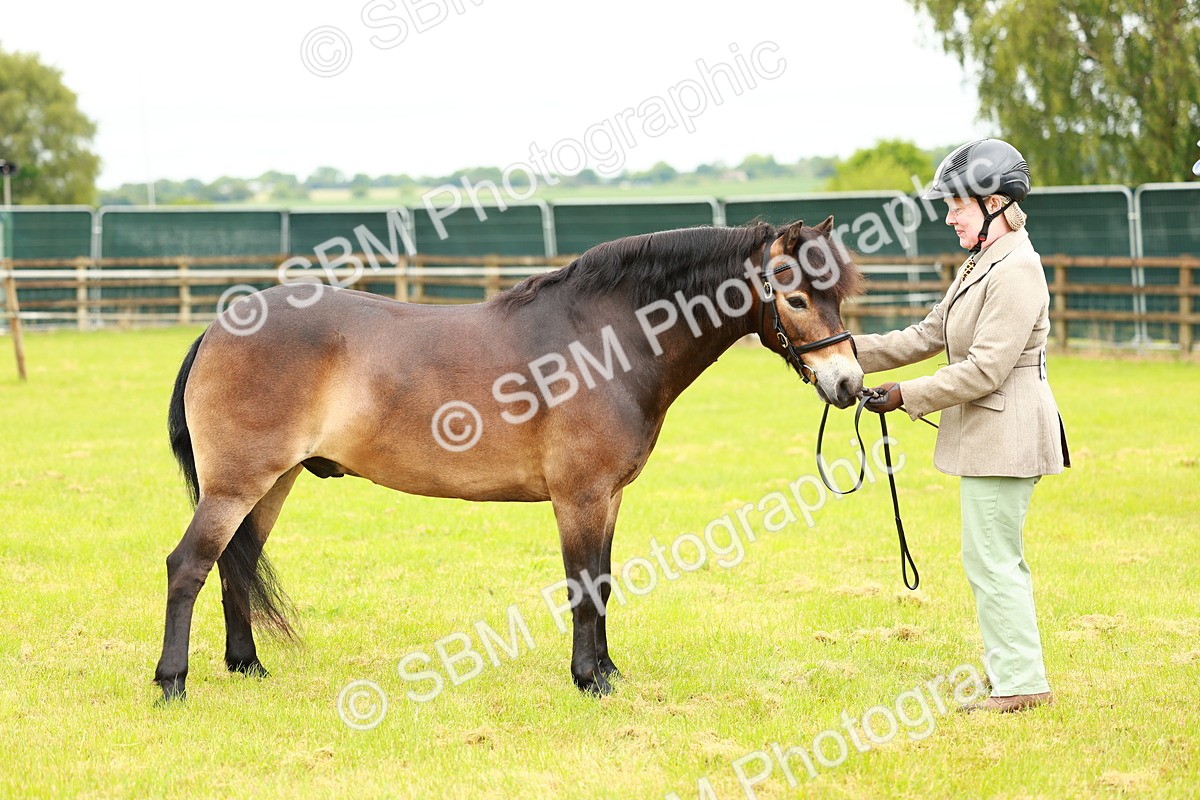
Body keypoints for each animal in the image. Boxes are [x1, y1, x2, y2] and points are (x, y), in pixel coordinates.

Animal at [154, 217, 865, 702]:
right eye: (796, 299)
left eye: (839, 296)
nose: (849, 384)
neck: (605, 340)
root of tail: (220, 326)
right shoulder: (579, 496)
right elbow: (583, 585)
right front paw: (589, 680)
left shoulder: (609, 497)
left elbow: (605, 581)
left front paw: (607, 670)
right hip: (237, 484)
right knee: (190, 566)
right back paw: (172, 682)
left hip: (271, 483)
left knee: (237, 565)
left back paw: (247, 666)